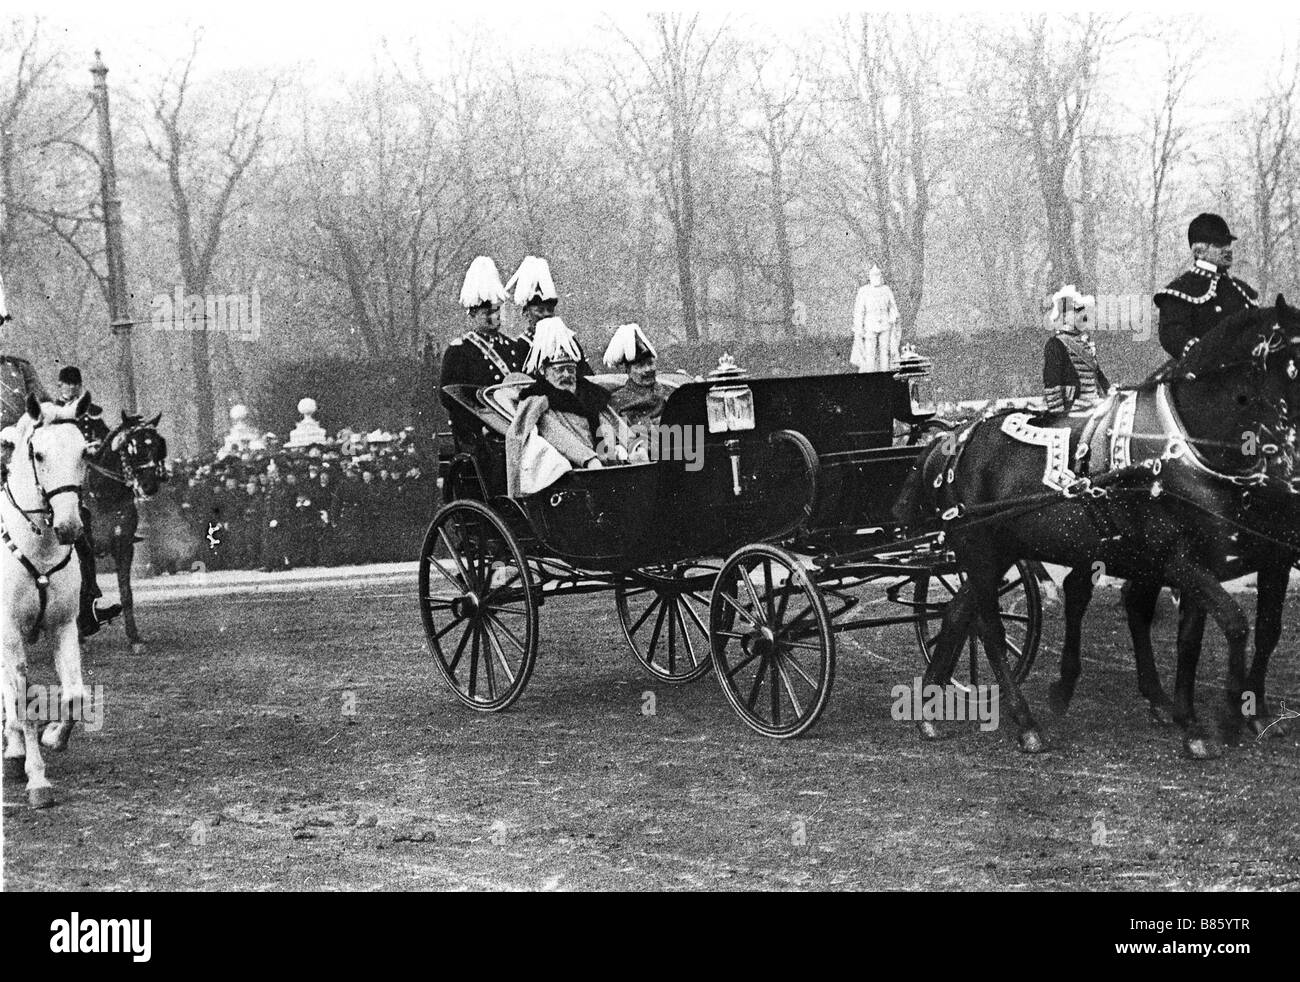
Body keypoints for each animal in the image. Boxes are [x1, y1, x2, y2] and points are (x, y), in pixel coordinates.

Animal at [83, 411, 167, 650]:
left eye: (157, 444)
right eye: (132, 448)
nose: (149, 486)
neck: (103, 495)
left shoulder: (124, 547)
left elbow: (126, 593)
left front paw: (134, 638)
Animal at [899, 299, 1300, 759]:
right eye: (1292, 365)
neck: (1182, 447)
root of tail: (952, 441)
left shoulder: (1228, 558)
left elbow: (1219, 632)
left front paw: (1217, 717)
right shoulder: (1183, 561)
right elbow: (1234, 624)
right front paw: (1225, 719)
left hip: (996, 554)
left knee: (957, 616)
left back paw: (930, 711)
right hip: (981, 553)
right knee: (991, 631)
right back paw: (1025, 723)